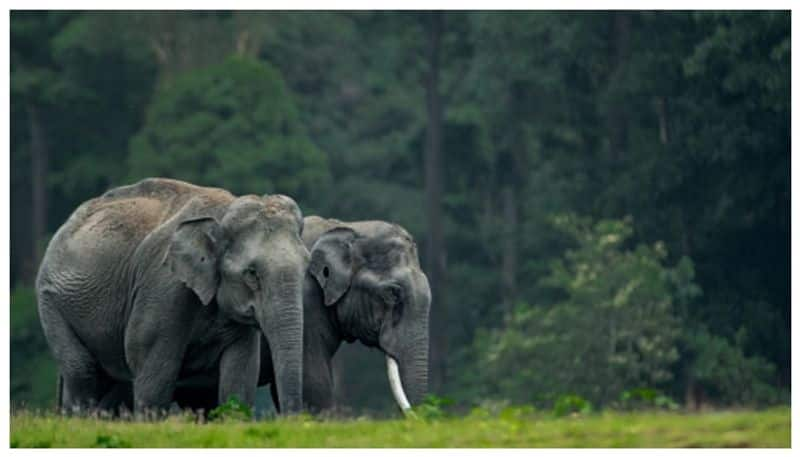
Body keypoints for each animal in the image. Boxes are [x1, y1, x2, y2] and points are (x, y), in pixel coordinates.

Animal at [36, 177, 310, 414]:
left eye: (306, 265)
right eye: (251, 274)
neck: (222, 213)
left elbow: (239, 381)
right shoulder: (164, 287)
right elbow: (152, 372)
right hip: (51, 302)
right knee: (83, 375)